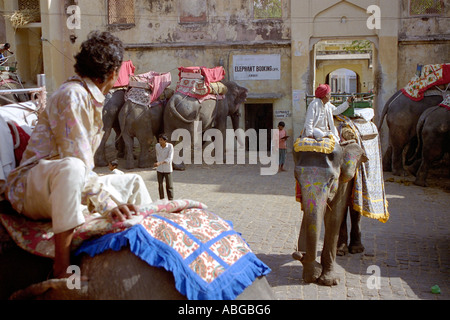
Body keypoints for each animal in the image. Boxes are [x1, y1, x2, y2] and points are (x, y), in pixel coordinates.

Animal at [290, 140, 368, 284]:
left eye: (332, 179)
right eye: (296, 177)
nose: (298, 253)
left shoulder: (342, 177)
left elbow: (333, 216)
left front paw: (329, 281)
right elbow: (310, 214)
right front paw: (312, 275)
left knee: (353, 208)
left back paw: (356, 249)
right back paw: (341, 251)